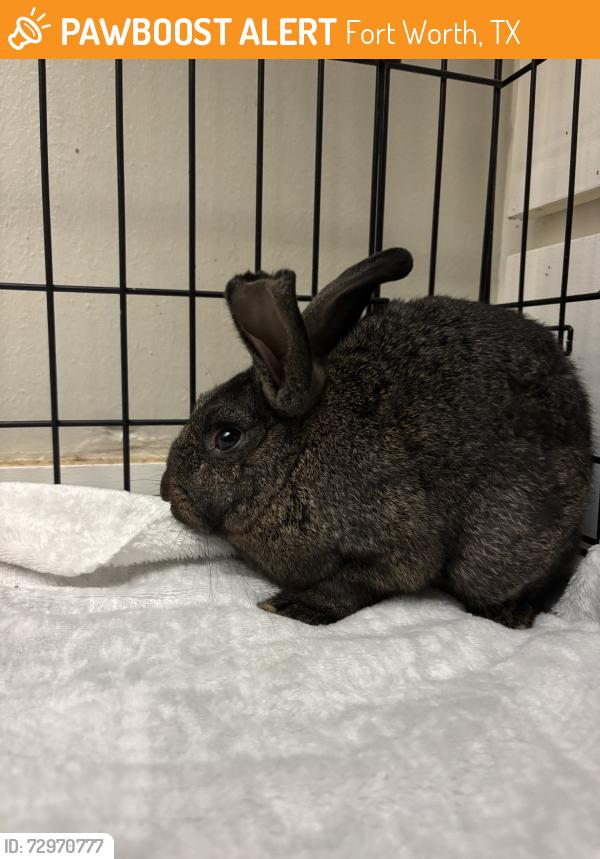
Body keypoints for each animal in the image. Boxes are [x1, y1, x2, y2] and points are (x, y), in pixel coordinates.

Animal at [161, 248, 592, 628]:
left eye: (227, 437)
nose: (167, 491)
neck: (295, 458)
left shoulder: (398, 544)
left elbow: (354, 583)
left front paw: (290, 607)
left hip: (495, 552)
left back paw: (512, 615)